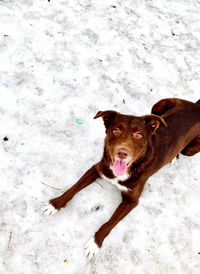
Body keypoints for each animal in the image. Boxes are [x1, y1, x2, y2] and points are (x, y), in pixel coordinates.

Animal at [42, 98, 200, 260]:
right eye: (116, 130)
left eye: (138, 134)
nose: (122, 153)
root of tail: (196, 105)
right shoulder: (96, 169)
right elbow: (73, 188)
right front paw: (55, 204)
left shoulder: (131, 201)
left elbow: (110, 222)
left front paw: (95, 242)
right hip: (159, 105)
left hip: (189, 149)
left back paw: (174, 157)